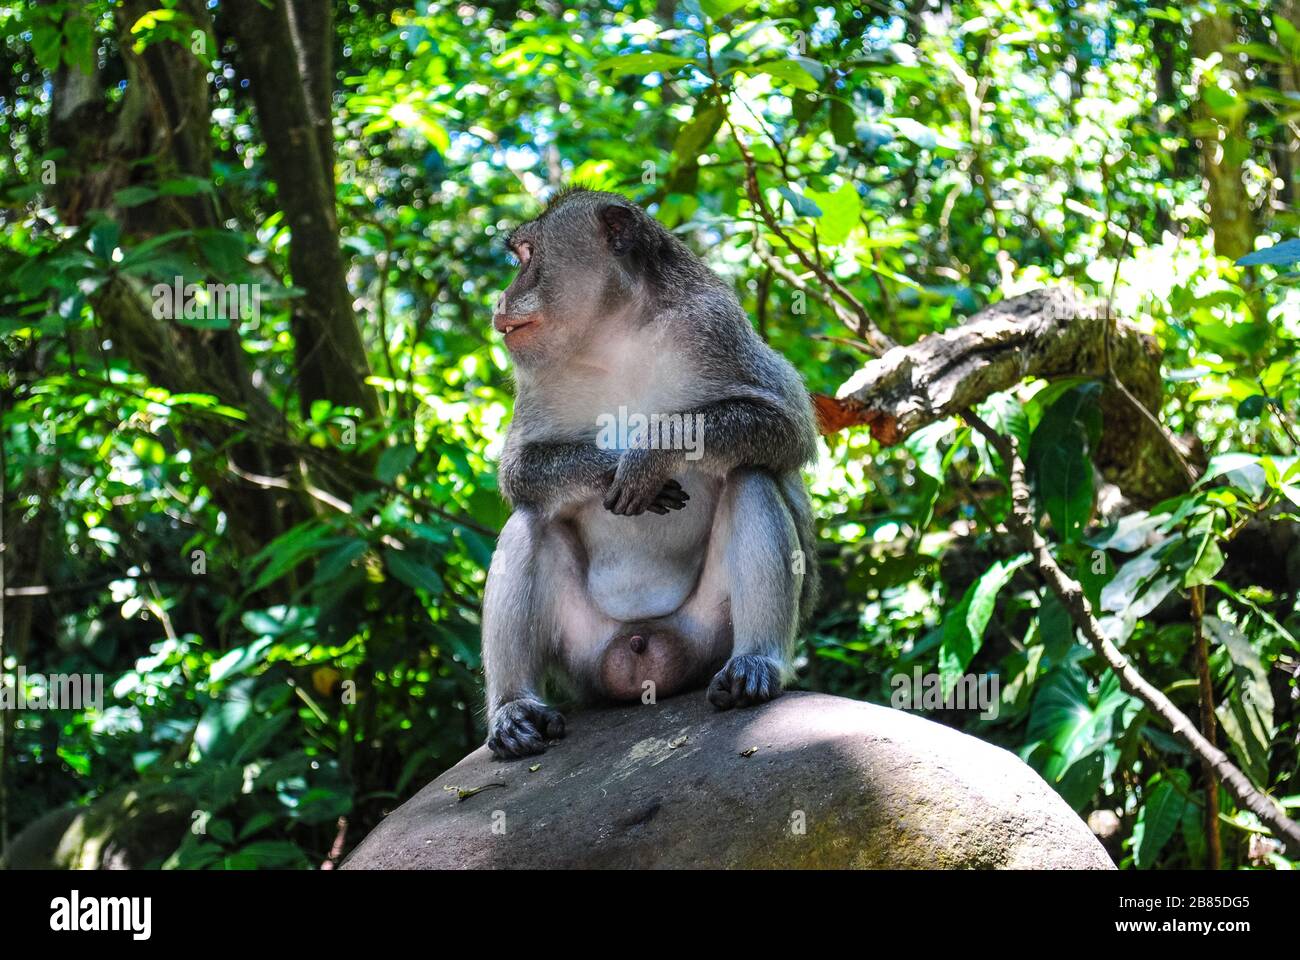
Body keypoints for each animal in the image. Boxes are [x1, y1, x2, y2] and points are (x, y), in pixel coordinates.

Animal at [483, 187, 816, 754]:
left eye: (527, 256)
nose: (501, 297)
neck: (612, 333)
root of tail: (642, 647)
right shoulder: (536, 375)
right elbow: (519, 472)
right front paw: (608, 468)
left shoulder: (714, 326)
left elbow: (786, 426)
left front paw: (649, 456)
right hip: (585, 651)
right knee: (529, 519)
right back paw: (515, 708)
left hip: (704, 634)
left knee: (750, 476)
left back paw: (755, 664)